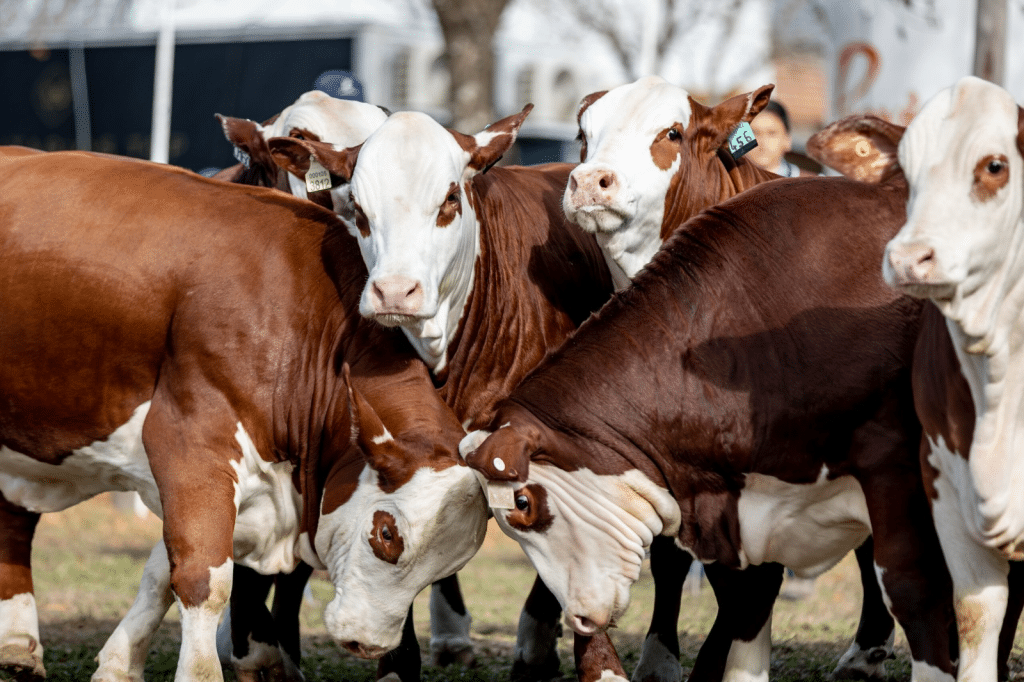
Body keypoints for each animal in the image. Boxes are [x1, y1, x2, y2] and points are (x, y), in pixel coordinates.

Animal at [0, 147, 487, 679]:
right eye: (386, 533)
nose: (368, 644)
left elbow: (161, 572)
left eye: (448, 569)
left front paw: (120, 664)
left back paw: (17, 644)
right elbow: (203, 578)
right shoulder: (190, 446)